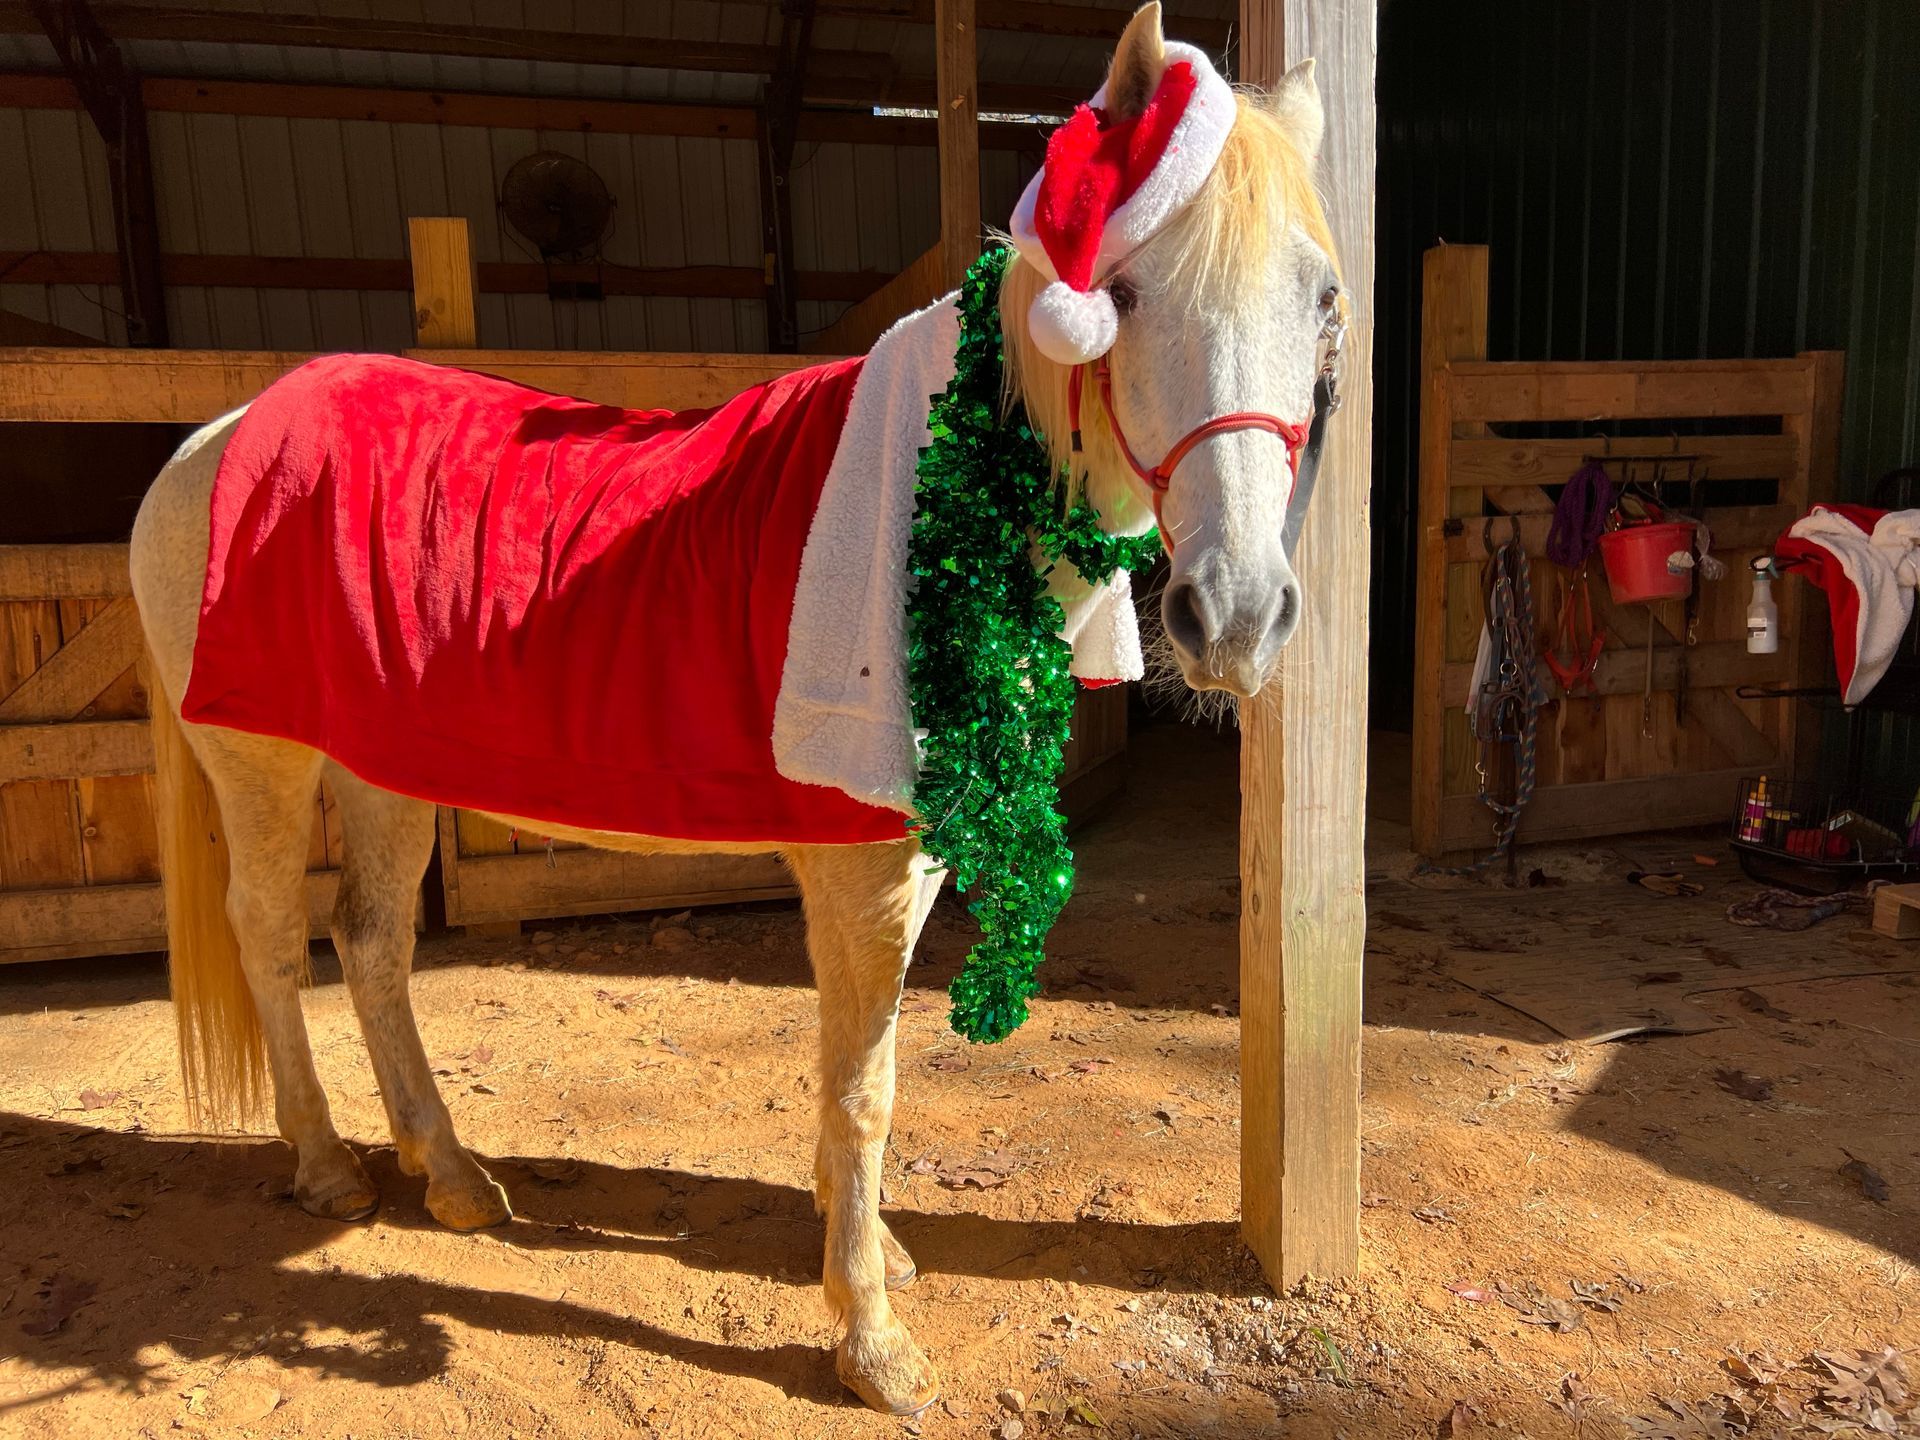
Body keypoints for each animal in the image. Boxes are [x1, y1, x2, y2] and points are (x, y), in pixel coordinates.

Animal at [126, 4, 1341, 1416]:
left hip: (381, 765)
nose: (1238, 617)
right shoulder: (859, 865)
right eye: (1127, 294)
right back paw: (326, 1165)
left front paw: (870, 1254)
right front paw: (871, 1338)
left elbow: (859, 1065)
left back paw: (451, 1174)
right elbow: (863, 1087)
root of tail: (213, 435)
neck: (942, 498)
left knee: (371, 946)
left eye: (1320, 299)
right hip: (263, 764)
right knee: (274, 939)